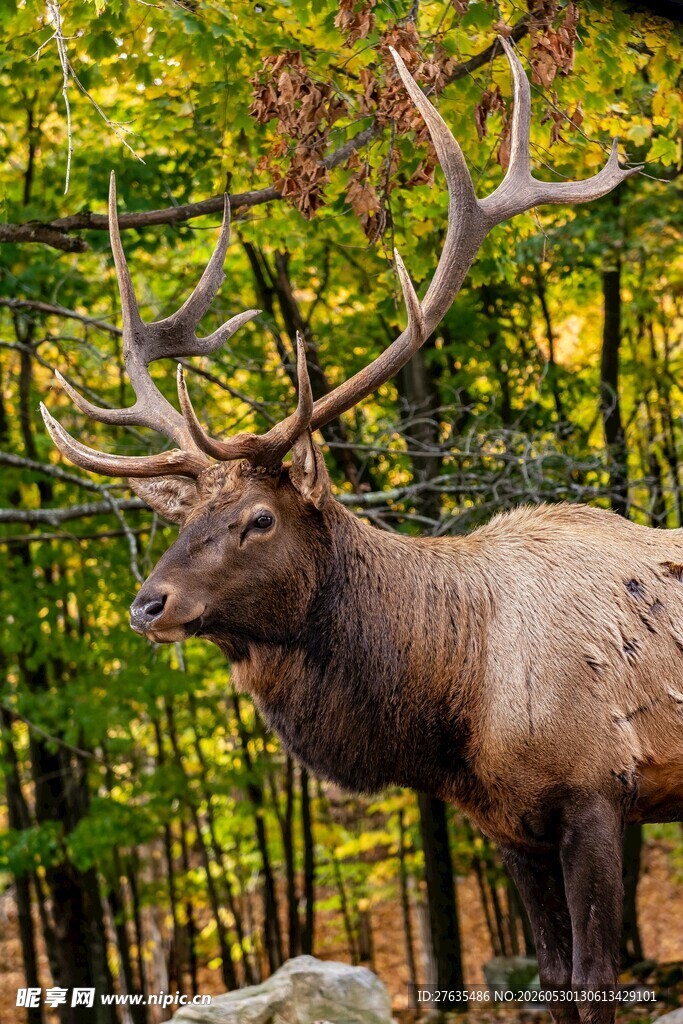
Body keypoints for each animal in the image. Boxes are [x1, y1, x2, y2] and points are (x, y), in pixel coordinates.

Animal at [40, 37, 681, 1023]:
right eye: (185, 516)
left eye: (258, 518)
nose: (149, 605)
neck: (458, 706)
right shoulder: (509, 825)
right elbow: (549, 981)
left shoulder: (596, 791)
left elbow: (597, 981)